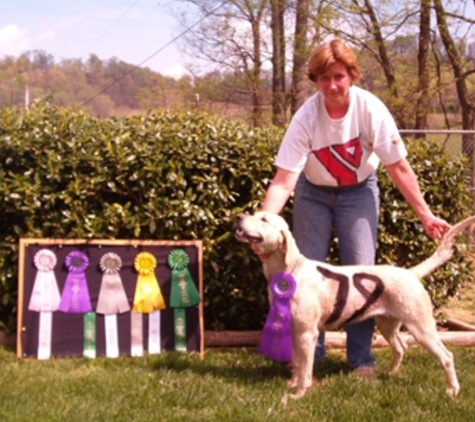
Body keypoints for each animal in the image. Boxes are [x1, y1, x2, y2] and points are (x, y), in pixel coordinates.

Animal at [235, 213, 475, 400]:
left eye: (264, 219)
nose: (238, 216)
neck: (289, 270)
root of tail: (411, 273)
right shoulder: (294, 331)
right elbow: (297, 363)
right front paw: (292, 383)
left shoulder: (307, 333)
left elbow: (305, 368)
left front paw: (299, 393)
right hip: (388, 325)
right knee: (400, 347)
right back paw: (391, 375)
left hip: (421, 327)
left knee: (446, 356)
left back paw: (452, 390)